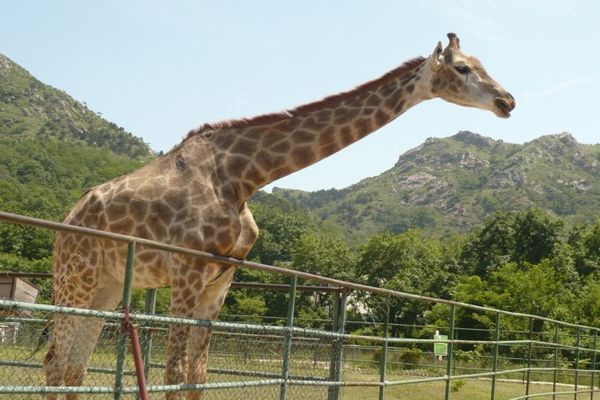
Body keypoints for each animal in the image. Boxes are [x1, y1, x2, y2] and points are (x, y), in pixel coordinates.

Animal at [44, 32, 516, 398]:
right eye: (462, 68)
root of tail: (66, 221)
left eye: (482, 64)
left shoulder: (221, 278)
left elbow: (197, 377)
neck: (243, 177)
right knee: (54, 362)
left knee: (73, 367)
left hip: (107, 287)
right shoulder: (187, 269)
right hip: (75, 276)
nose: (507, 100)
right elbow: (174, 375)